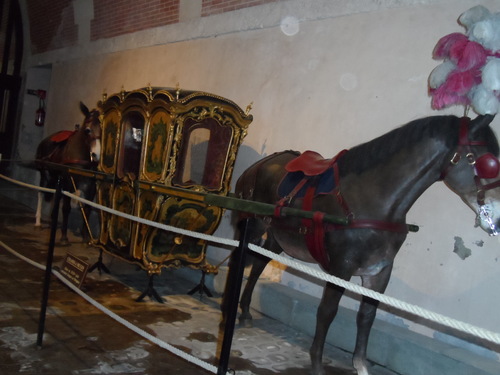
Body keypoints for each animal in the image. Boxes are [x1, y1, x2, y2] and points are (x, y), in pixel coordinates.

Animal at [35, 101, 100, 245]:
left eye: (102, 129)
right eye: (87, 130)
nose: (96, 155)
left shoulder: (91, 186)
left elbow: (87, 208)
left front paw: (86, 238)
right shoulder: (69, 182)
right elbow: (66, 208)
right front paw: (64, 238)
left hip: (55, 177)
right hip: (44, 174)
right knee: (41, 193)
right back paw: (38, 222)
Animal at [233, 115, 500, 375]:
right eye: (484, 161)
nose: (496, 218)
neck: (374, 201)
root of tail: (261, 163)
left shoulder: (380, 270)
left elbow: (367, 315)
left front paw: (360, 364)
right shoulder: (341, 267)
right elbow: (327, 311)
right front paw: (317, 363)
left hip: (277, 237)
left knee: (257, 266)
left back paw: (245, 311)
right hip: (253, 226)